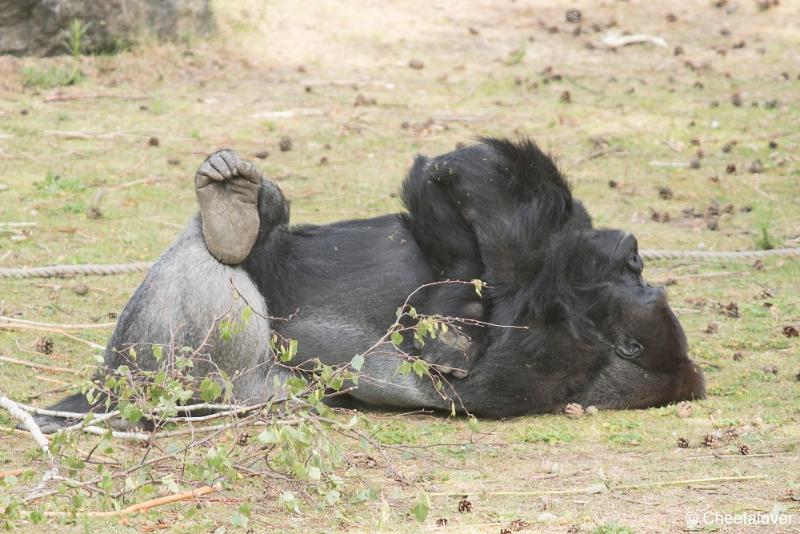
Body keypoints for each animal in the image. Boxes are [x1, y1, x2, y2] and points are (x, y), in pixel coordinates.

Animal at [34, 138, 704, 432]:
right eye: (637, 270)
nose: (631, 252)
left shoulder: (549, 351)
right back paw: (242, 210)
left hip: (212, 389)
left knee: (206, 282)